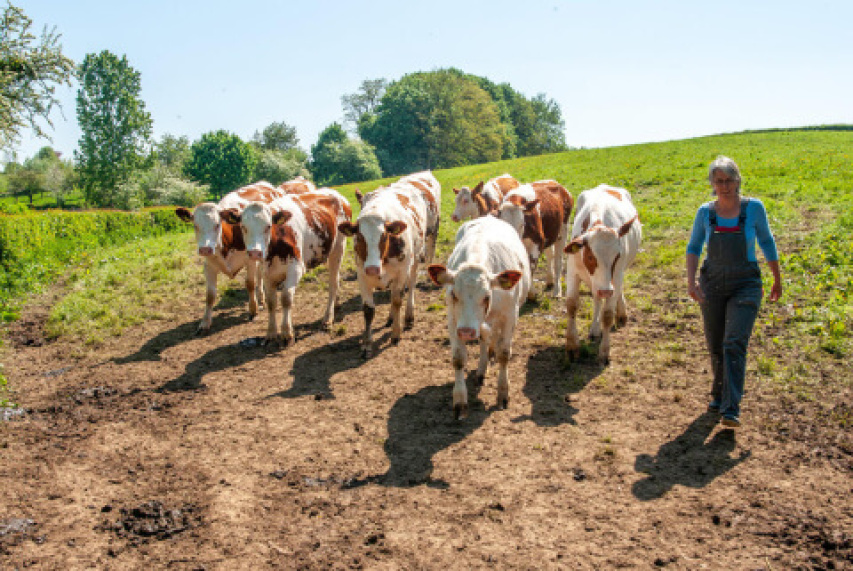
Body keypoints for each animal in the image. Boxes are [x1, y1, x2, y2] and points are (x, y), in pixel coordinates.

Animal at [175, 179, 284, 330]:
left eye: (217, 224)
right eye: (195, 226)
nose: (205, 249)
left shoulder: (250, 259)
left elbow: (250, 284)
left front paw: (253, 310)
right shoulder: (209, 265)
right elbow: (210, 295)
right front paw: (205, 322)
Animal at [223, 190, 352, 346]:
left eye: (268, 226)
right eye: (243, 227)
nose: (255, 252)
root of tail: (335, 193)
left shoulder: (295, 269)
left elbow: (286, 298)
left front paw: (287, 334)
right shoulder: (267, 273)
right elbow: (271, 302)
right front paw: (271, 333)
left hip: (338, 249)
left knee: (333, 283)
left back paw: (328, 318)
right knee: (336, 279)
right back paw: (336, 305)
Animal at [338, 171, 442, 358]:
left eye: (384, 236)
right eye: (359, 236)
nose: (372, 268)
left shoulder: (401, 272)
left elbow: (396, 300)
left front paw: (395, 334)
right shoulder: (362, 275)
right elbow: (368, 310)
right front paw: (367, 344)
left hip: (418, 256)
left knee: (411, 286)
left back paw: (408, 316)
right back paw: (391, 318)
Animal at [430, 216, 528, 420]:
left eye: (487, 296)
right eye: (454, 294)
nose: (467, 332)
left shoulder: (510, 315)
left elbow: (504, 353)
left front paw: (503, 393)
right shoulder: (453, 319)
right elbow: (458, 358)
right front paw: (460, 401)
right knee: (485, 339)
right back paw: (482, 370)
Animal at [564, 185, 640, 364]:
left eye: (617, 255)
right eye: (591, 256)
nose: (606, 290)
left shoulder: (616, 276)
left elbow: (607, 314)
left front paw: (604, 351)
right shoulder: (572, 271)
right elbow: (571, 305)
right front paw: (572, 345)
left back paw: (621, 313)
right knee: (597, 298)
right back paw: (595, 328)